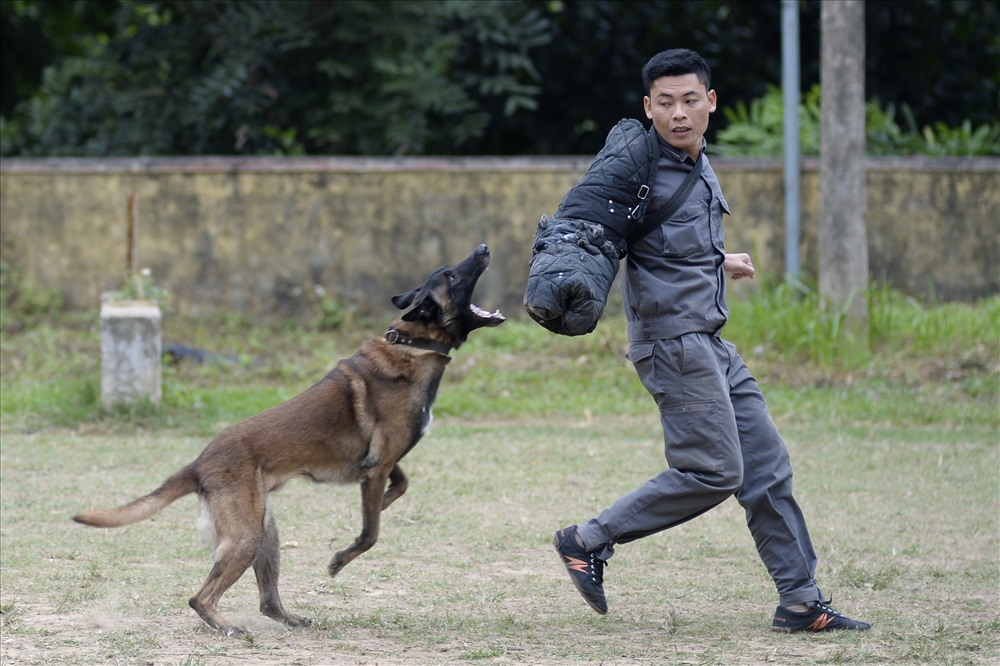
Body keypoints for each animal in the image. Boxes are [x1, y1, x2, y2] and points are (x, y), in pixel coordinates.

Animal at [74, 245, 504, 632]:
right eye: (451, 276)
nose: (483, 248)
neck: (415, 343)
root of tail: (199, 462)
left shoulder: (381, 464)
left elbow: (400, 485)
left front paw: (381, 503)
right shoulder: (378, 464)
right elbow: (371, 533)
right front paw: (340, 558)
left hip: (266, 532)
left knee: (266, 601)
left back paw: (288, 617)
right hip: (247, 536)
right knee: (199, 597)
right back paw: (224, 624)